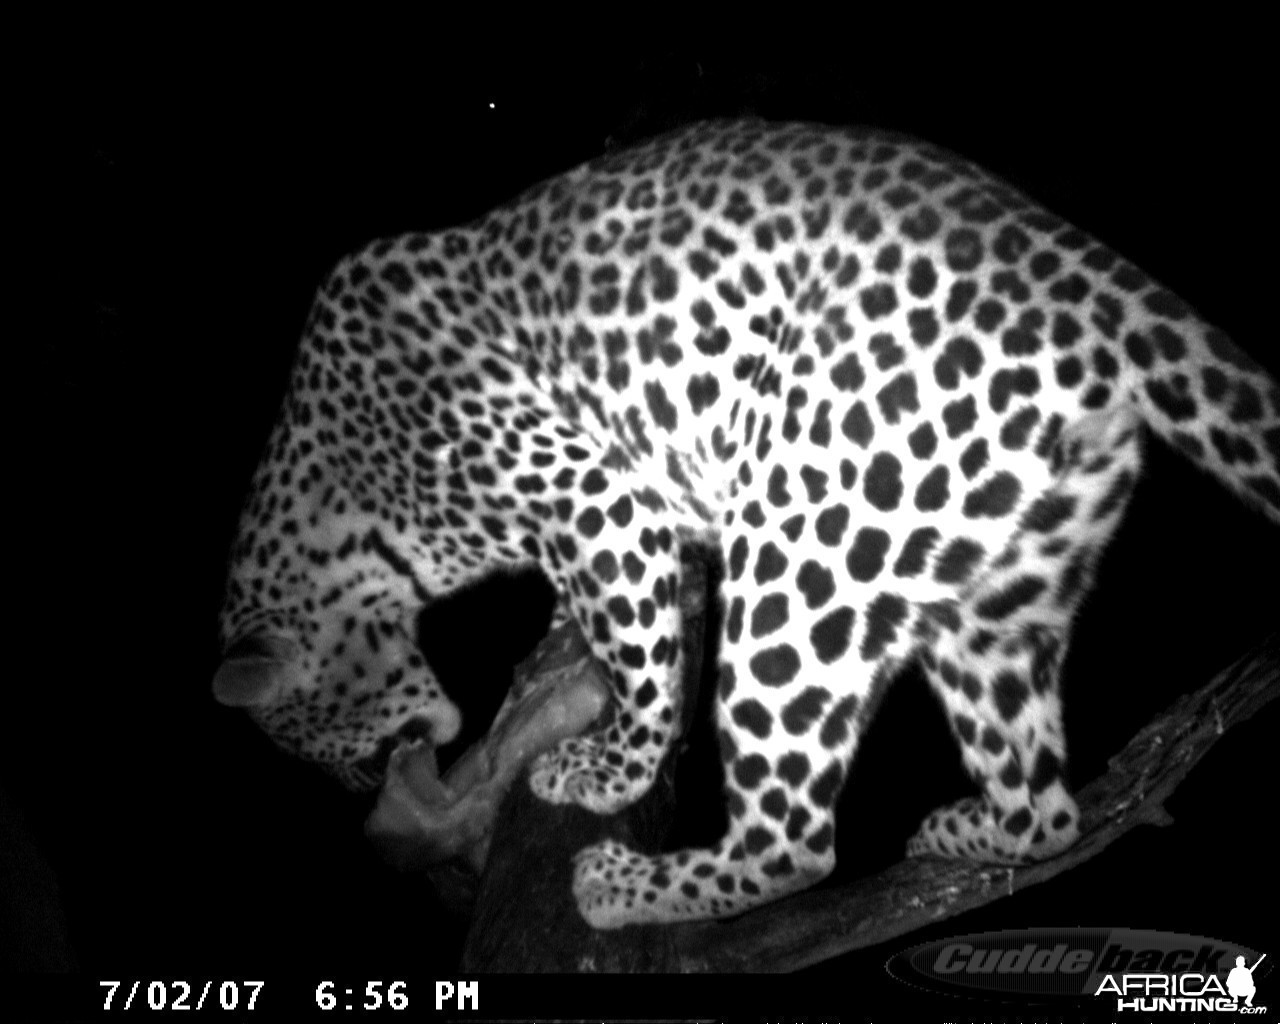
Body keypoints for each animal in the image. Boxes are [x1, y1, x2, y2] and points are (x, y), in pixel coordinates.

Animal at [209, 120, 1280, 926]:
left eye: (325, 743)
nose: (369, 791)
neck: (344, 499)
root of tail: (1087, 280)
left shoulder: (598, 500)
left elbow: (641, 662)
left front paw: (609, 767)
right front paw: (559, 650)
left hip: (799, 552)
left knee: (793, 842)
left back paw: (622, 886)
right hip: (997, 595)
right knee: (1044, 810)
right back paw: (970, 831)